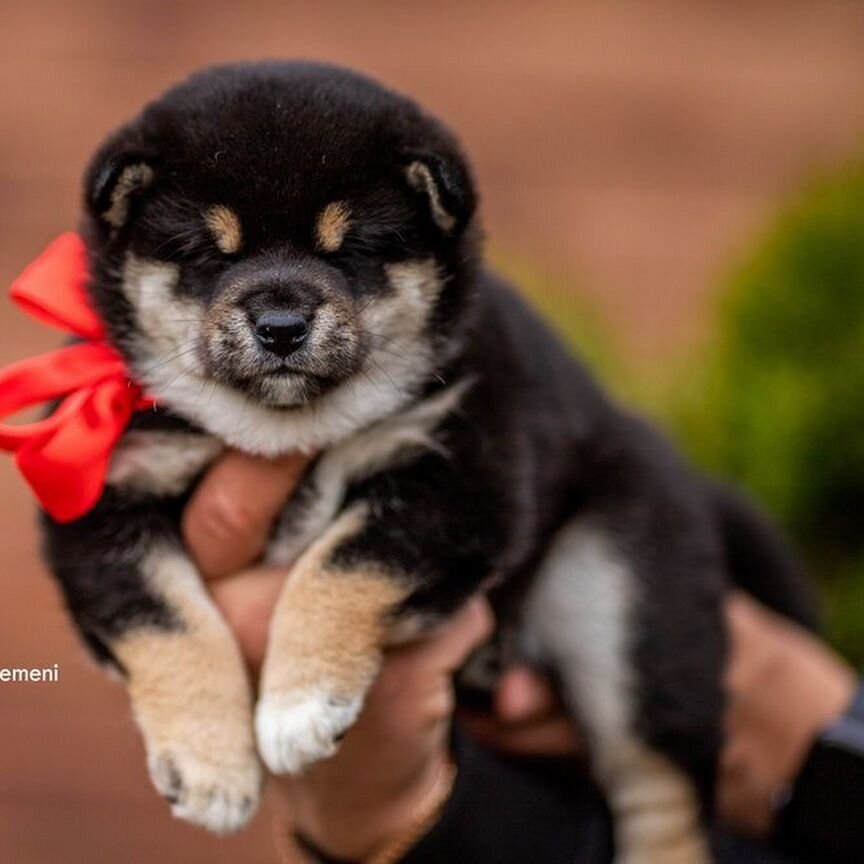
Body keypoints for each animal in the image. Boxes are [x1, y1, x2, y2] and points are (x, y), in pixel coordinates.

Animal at [35, 64, 816, 860]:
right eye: (208, 254)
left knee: (662, 795)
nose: (281, 325)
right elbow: (168, 621)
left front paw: (299, 703)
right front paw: (209, 767)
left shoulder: (464, 478)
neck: (283, 431)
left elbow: (340, 564)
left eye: (349, 250)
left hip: (619, 595)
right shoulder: (104, 501)